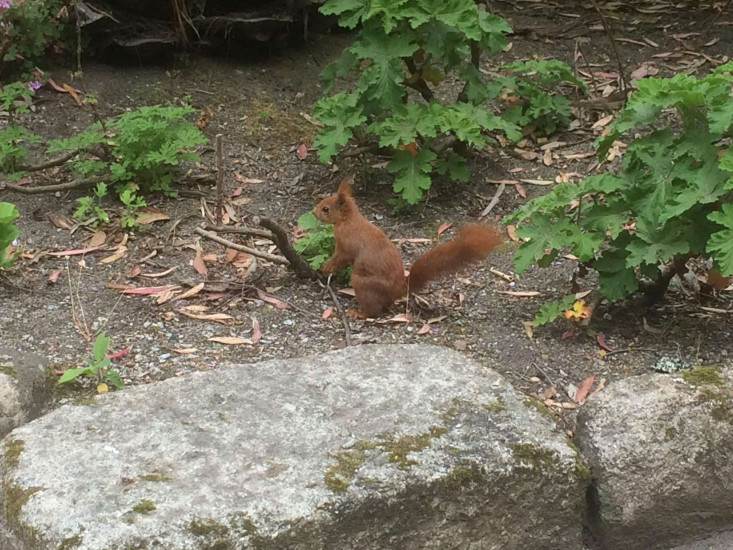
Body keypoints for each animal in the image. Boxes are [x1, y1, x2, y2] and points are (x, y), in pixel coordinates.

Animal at [312, 176, 504, 318]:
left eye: (326, 208)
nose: (313, 212)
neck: (348, 220)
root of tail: (398, 289)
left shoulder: (346, 243)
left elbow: (339, 257)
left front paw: (326, 266)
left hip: (362, 282)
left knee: (374, 311)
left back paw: (358, 313)